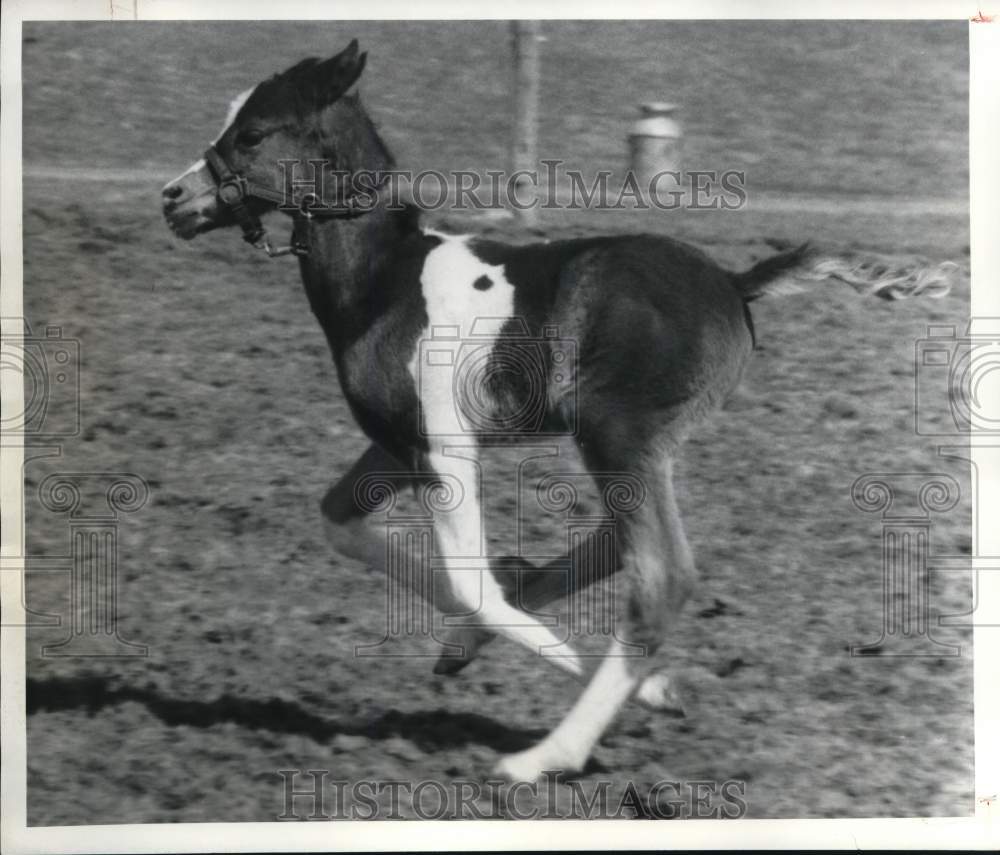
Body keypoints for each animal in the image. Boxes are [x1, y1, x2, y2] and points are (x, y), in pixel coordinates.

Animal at [162, 39, 956, 782]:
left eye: (253, 133)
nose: (173, 197)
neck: (384, 284)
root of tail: (737, 281)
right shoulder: (392, 444)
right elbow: (342, 525)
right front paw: (499, 649)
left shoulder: (443, 448)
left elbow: (472, 583)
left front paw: (647, 690)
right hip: (632, 445)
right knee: (617, 543)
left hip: (615, 433)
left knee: (660, 575)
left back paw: (547, 755)